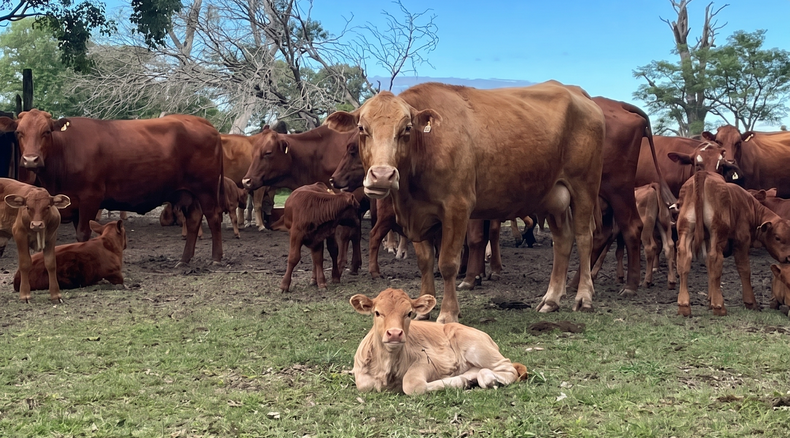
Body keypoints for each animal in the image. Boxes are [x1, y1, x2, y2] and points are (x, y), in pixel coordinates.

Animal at [5, 109, 224, 264]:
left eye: (47, 132)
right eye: (19, 132)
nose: (31, 160)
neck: (65, 152)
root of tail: (202, 122)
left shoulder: (90, 198)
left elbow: (83, 233)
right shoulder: (73, 204)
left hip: (206, 189)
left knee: (213, 217)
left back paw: (216, 258)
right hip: (188, 194)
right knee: (194, 220)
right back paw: (184, 260)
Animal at [326, 81, 606, 322]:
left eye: (406, 129)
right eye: (362, 128)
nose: (382, 175)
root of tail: (576, 92)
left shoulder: (457, 208)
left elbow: (447, 263)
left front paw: (448, 313)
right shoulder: (418, 215)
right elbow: (425, 261)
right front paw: (423, 311)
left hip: (584, 187)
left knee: (584, 237)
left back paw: (583, 297)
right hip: (553, 197)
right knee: (563, 240)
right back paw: (551, 299)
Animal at [349, 288, 528, 395]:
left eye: (409, 313)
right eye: (377, 313)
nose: (394, 333)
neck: (387, 367)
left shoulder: (427, 360)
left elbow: (413, 385)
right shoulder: (363, 380)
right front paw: (462, 381)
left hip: (475, 347)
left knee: (508, 368)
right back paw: (469, 379)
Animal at [675, 171, 790, 316]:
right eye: (777, 237)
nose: (788, 257)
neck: (749, 206)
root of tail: (703, 174)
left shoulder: (707, 241)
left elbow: (709, 268)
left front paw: (710, 300)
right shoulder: (742, 241)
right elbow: (744, 269)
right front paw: (750, 303)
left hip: (686, 229)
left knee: (685, 258)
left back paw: (684, 306)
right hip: (717, 232)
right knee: (715, 258)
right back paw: (719, 307)